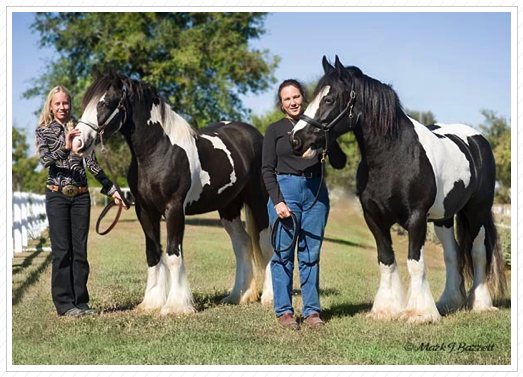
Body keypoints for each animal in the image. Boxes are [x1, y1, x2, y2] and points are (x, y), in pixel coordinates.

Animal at [72, 72, 274, 314]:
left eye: (104, 103)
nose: (77, 141)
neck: (159, 151)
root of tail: (253, 135)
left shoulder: (174, 209)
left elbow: (173, 254)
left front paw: (176, 306)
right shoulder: (145, 211)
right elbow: (153, 254)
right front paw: (151, 302)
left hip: (258, 200)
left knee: (265, 243)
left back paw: (269, 297)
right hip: (229, 206)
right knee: (242, 244)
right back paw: (239, 296)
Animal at [290, 56, 508, 324]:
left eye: (328, 100)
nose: (296, 140)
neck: (393, 156)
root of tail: (477, 140)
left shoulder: (416, 218)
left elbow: (415, 262)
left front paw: (419, 313)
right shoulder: (374, 218)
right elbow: (386, 260)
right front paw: (386, 309)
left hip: (477, 211)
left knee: (478, 252)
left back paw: (480, 304)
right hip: (444, 218)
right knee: (452, 254)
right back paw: (447, 302)